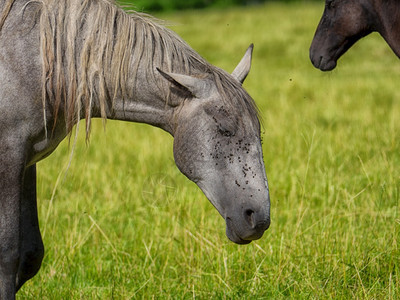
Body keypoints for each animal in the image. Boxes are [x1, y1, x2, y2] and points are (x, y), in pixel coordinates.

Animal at [0, 0, 272, 298]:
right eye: (225, 129)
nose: (258, 219)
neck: (39, 60)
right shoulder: (10, 155)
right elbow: (8, 252)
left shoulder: (27, 161)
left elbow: (30, 254)